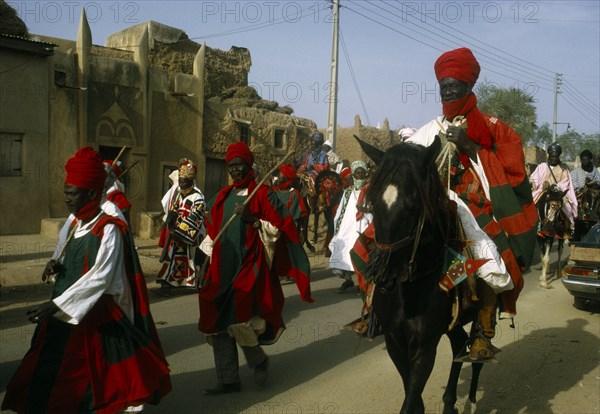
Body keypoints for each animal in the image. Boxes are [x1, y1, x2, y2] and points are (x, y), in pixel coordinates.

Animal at [356, 137, 482, 414]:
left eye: (414, 205)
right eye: (372, 203)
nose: (382, 276)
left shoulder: (425, 347)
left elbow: (411, 399)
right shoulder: (395, 342)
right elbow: (414, 399)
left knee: (478, 352)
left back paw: (471, 399)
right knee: (459, 344)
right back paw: (450, 403)